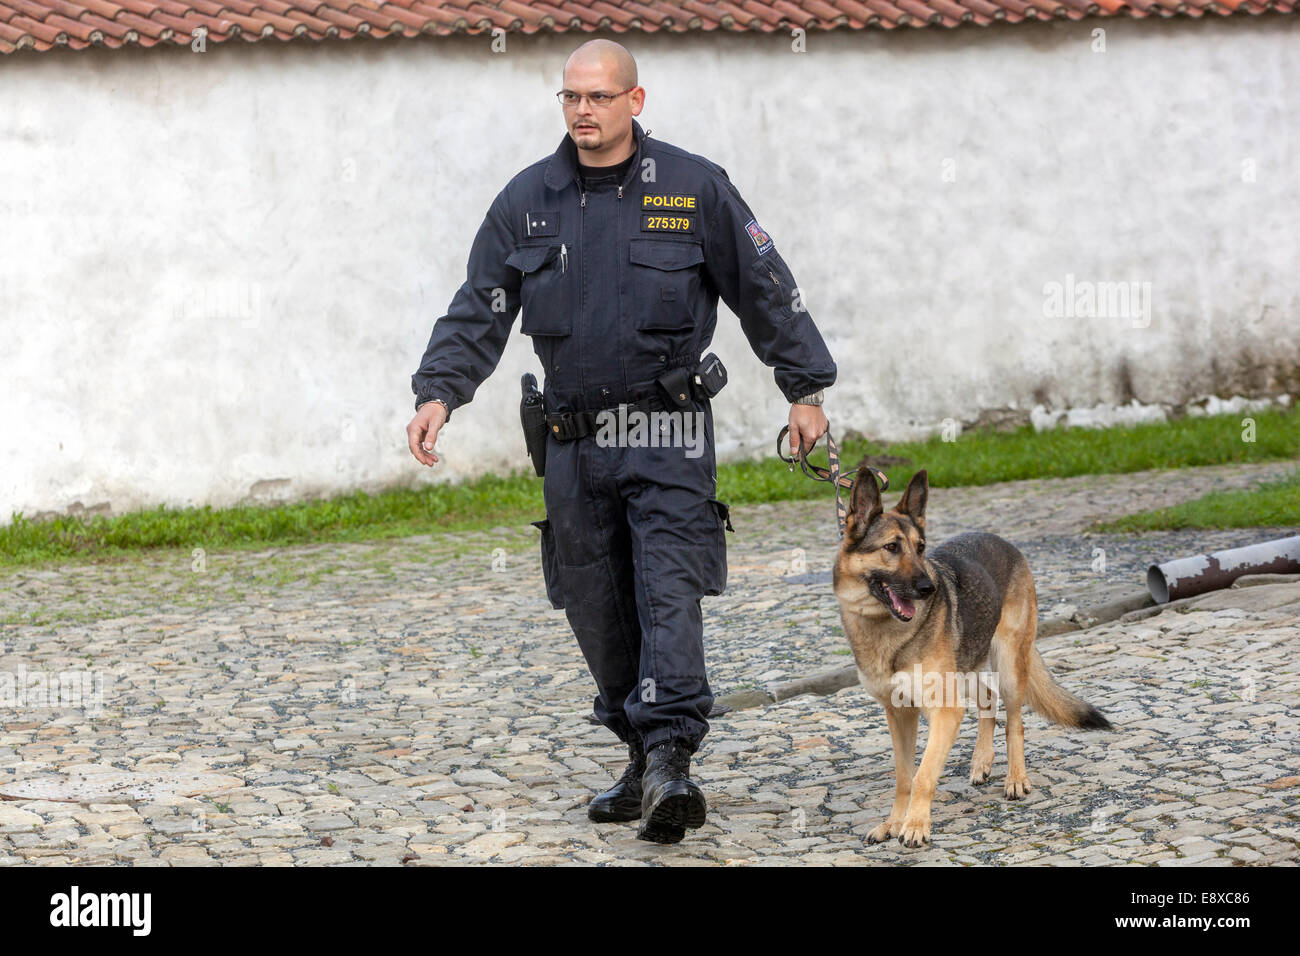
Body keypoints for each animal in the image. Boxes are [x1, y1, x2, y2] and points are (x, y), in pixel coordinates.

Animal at [832, 468, 1107, 848]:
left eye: (920, 548)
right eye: (891, 547)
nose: (928, 588)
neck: (883, 627)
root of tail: (1004, 542)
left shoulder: (945, 711)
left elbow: (923, 775)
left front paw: (915, 826)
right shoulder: (899, 713)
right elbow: (904, 777)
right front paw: (893, 823)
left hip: (1008, 665)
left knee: (1015, 722)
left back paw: (1016, 778)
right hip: (968, 667)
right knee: (988, 701)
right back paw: (981, 761)